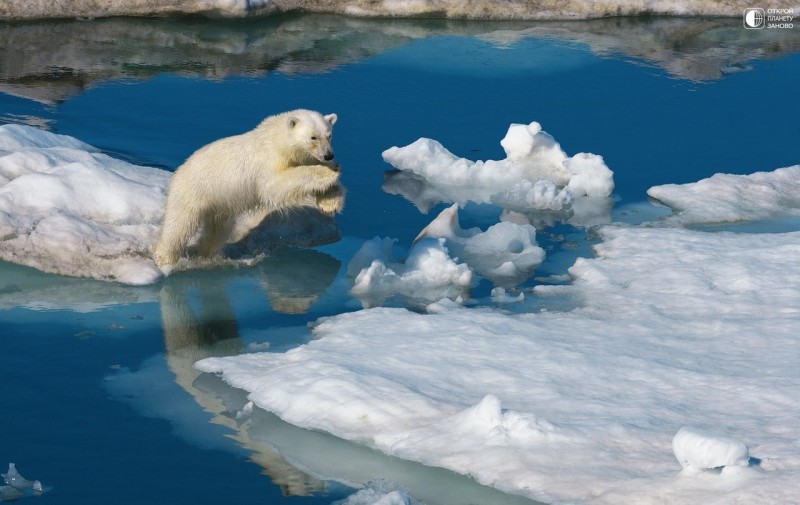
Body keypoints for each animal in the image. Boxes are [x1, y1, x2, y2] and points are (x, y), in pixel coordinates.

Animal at [153, 109, 344, 268]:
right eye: (313, 137)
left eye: (329, 135)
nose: (329, 155)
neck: (276, 138)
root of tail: (178, 172)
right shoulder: (268, 158)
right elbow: (275, 185)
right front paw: (328, 171)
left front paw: (330, 203)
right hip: (192, 191)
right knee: (178, 226)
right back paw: (164, 258)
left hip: (219, 203)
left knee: (217, 230)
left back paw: (206, 254)